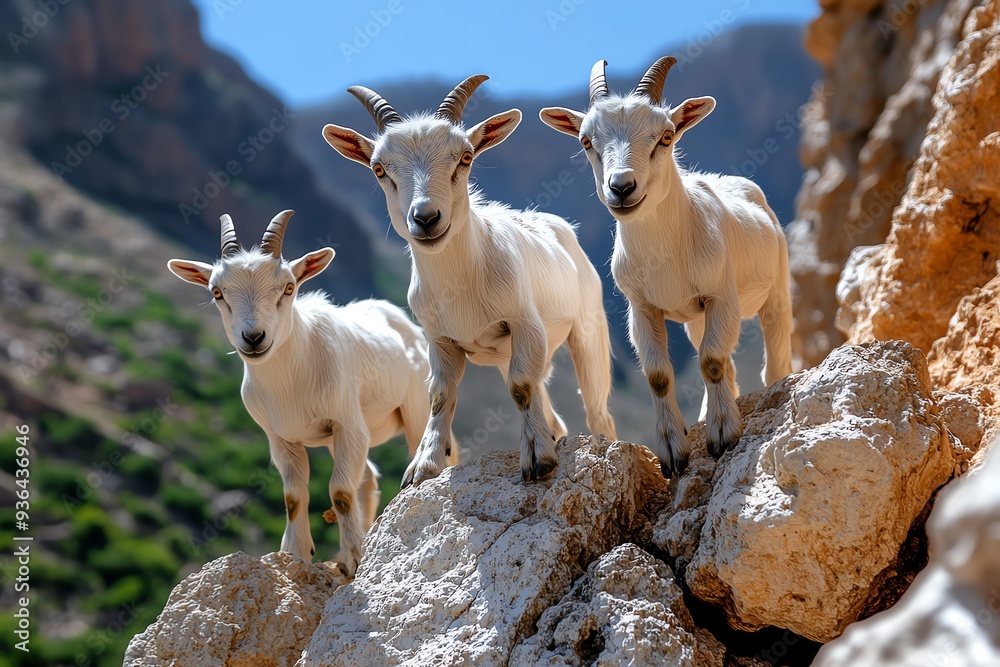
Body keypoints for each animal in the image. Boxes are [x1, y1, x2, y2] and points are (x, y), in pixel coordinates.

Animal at [167, 210, 434, 576]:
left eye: (289, 287)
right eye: (217, 292)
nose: (254, 338)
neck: (292, 381)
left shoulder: (347, 423)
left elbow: (340, 492)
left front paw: (350, 559)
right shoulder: (281, 438)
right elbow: (294, 496)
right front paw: (296, 553)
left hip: (415, 408)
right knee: (367, 476)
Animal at [322, 76, 617, 484]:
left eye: (465, 156)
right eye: (378, 168)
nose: (426, 218)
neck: (461, 285)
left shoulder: (525, 323)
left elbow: (520, 387)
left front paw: (537, 459)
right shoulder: (440, 340)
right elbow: (441, 396)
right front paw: (424, 464)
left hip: (587, 327)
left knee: (595, 406)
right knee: (547, 400)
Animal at [540, 57, 792, 477]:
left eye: (667, 136)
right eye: (586, 141)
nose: (622, 187)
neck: (667, 254)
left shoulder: (721, 296)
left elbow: (710, 361)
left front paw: (724, 437)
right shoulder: (642, 308)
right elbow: (660, 375)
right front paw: (674, 451)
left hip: (775, 288)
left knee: (773, 349)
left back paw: (777, 389)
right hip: (696, 318)